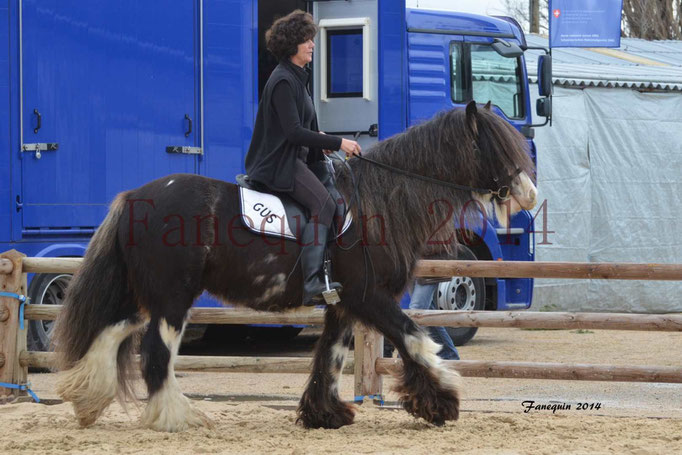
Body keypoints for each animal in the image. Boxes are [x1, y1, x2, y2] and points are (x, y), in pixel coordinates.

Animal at [53, 101, 532, 432]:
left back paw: (88, 400)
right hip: (171, 298)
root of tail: (133, 198)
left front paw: (324, 414)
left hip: (145, 295)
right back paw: (175, 417)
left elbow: (330, 356)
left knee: (110, 332)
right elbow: (413, 338)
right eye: (490, 145)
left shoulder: (342, 302)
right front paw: (441, 402)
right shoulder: (369, 296)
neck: (378, 203)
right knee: (156, 352)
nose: (528, 193)